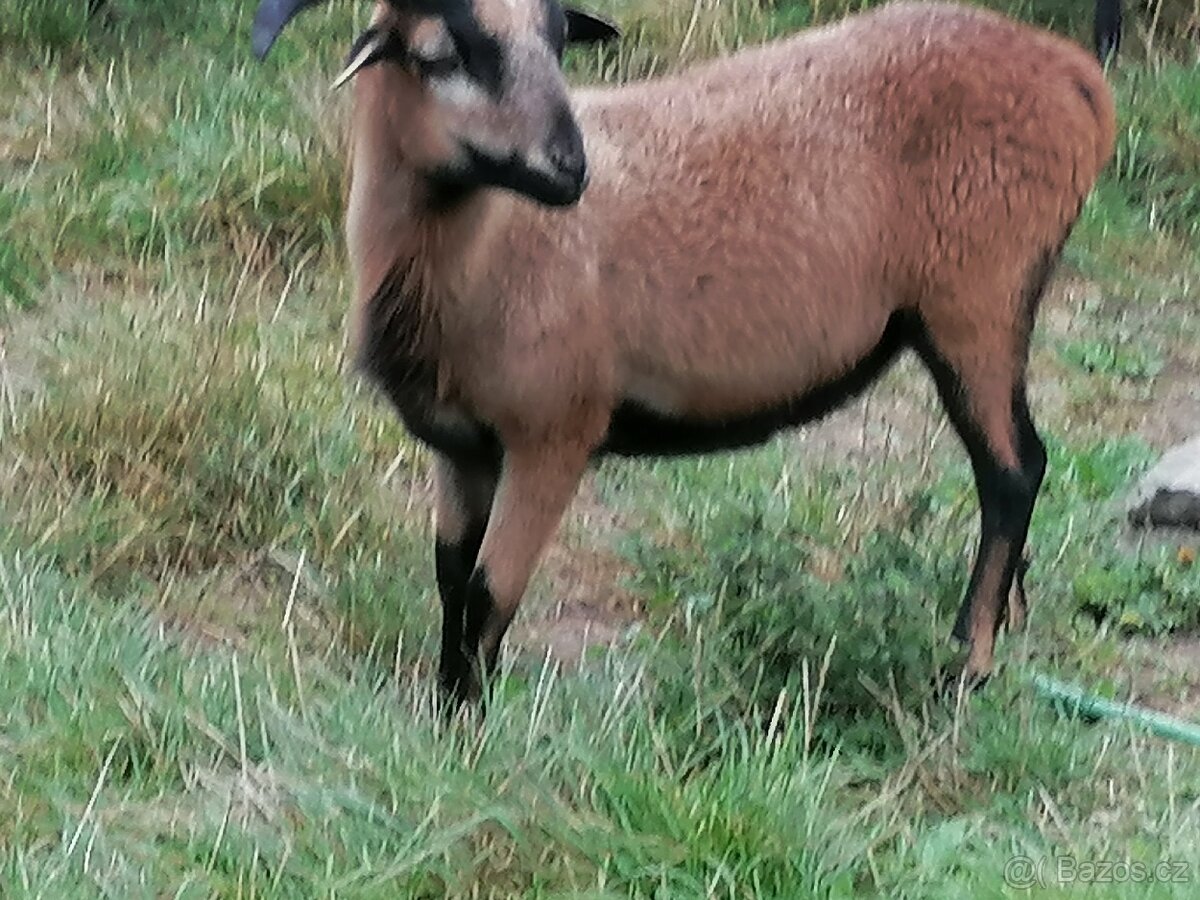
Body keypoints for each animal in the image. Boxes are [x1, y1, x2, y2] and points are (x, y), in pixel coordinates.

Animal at [250, 0, 1113, 705]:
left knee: (1015, 470)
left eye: (558, 41)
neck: (484, 249)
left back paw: (966, 664)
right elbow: (451, 580)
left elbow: (492, 595)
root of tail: (1077, 78)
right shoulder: (460, 447)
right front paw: (440, 711)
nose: (570, 167)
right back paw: (1003, 626)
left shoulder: (555, 431)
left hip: (979, 301)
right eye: (438, 54)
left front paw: (468, 732)